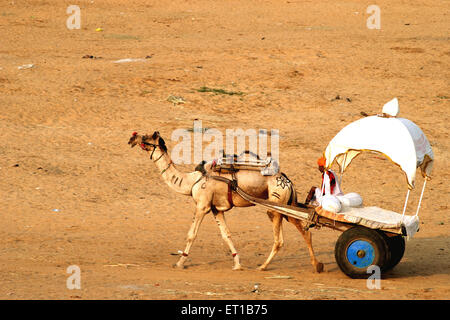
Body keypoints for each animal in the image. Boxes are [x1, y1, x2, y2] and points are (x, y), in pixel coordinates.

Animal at [127, 131, 324, 272]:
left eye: (146, 137)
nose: (131, 138)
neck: (192, 181)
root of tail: (288, 181)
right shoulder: (217, 209)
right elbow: (226, 234)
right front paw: (237, 264)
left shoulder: (202, 205)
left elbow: (192, 234)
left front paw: (180, 263)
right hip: (287, 206)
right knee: (305, 230)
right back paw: (317, 265)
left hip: (276, 206)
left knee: (279, 240)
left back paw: (263, 267)